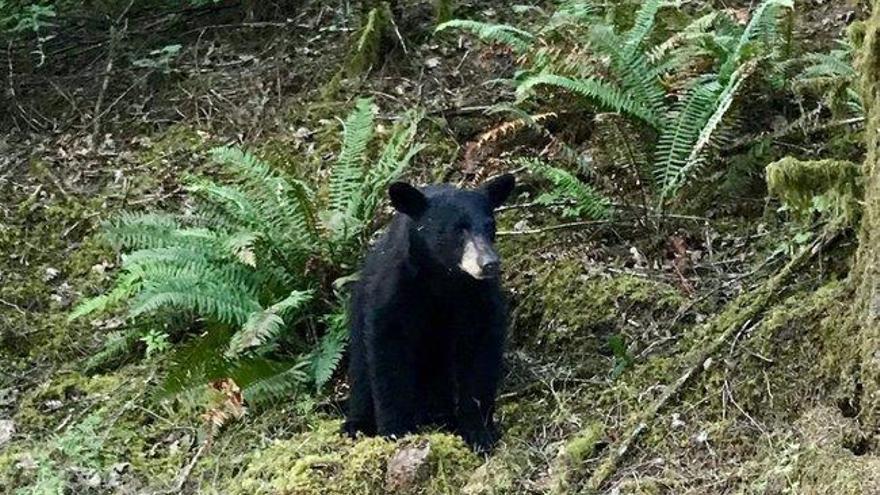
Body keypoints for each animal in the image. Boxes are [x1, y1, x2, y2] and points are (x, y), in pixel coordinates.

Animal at [340, 174, 512, 454]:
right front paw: (395, 431)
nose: (489, 264)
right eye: (458, 229)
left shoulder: (479, 298)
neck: (443, 277)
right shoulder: (396, 288)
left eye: (490, 226)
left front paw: (479, 432)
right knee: (361, 370)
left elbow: (481, 356)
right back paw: (356, 425)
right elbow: (388, 353)